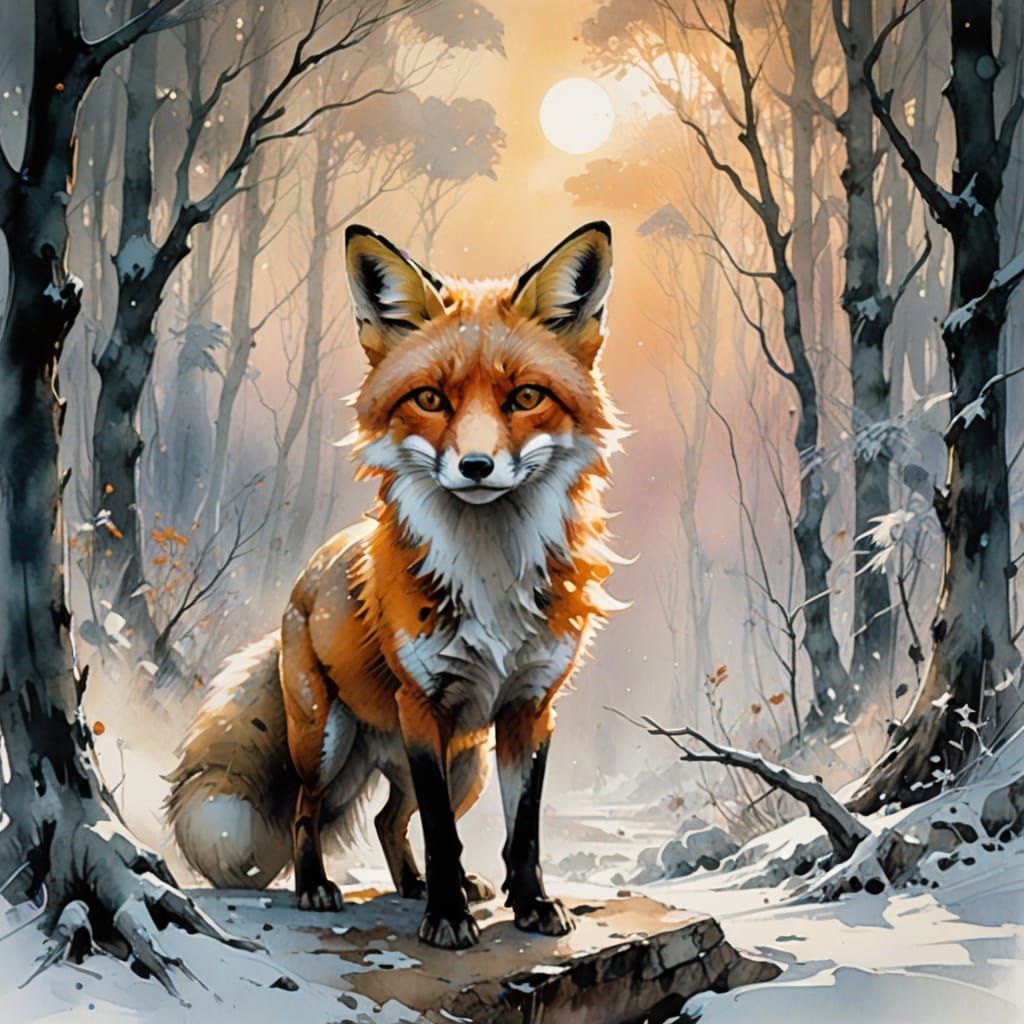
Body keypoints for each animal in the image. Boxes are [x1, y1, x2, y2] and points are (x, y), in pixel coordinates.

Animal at [166, 220, 625, 949]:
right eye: (430, 399)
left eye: (525, 397)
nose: (475, 466)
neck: (490, 575)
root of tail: (302, 582)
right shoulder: (423, 704)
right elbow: (441, 833)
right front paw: (447, 920)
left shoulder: (530, 708)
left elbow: (521, 829)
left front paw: (529, 905)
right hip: (328, 742)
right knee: (307, 809)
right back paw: (317, 888)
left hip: (464, 760)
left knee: (388, 820)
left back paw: (417, 886)